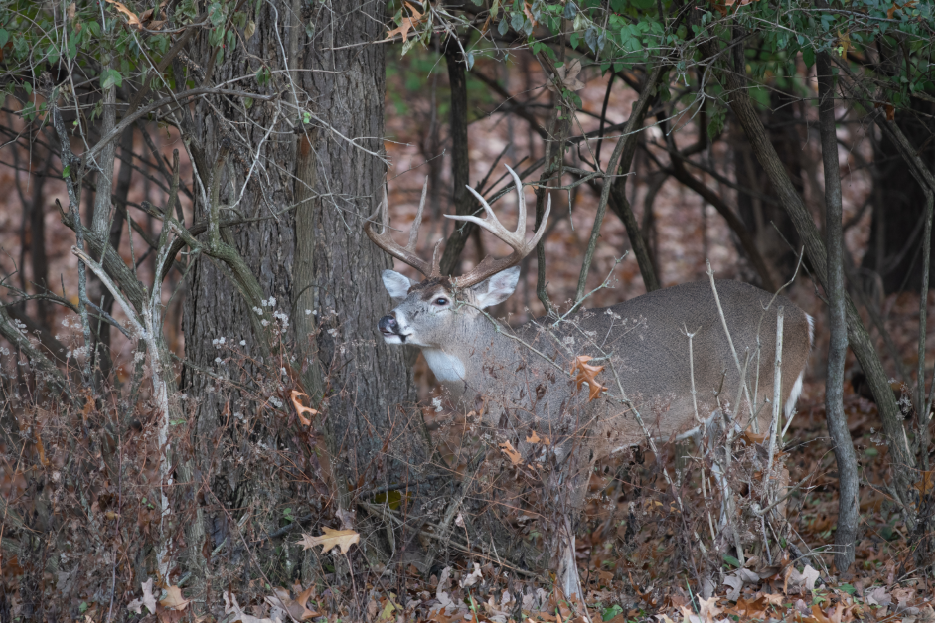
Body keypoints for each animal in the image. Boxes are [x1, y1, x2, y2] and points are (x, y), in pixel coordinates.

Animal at [366, 165, 813, 596]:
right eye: (405, 295)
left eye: (441, 300)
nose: (387, 320)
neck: (517, 379)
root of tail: (803, 320)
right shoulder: (545, 453)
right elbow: (551, 520)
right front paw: (554, 591)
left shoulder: (585, 435)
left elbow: (568, 518)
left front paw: (573, 599)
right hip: (716, 422)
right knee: (728, 481)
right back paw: (726, 561)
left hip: (758, 401)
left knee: (778, 474)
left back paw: (783, 564)